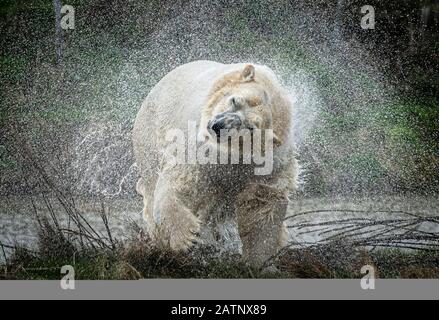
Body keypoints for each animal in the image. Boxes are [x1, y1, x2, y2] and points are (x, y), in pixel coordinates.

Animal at [133, 60, 300, 268]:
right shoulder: (196, 148)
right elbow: (182, 183)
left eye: (251, 127)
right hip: (150, 135)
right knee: (151, 183)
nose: (217, 126)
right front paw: (187, 237)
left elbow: (261, 204)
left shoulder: (268, 166)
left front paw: (260, 261)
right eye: (235, 100)